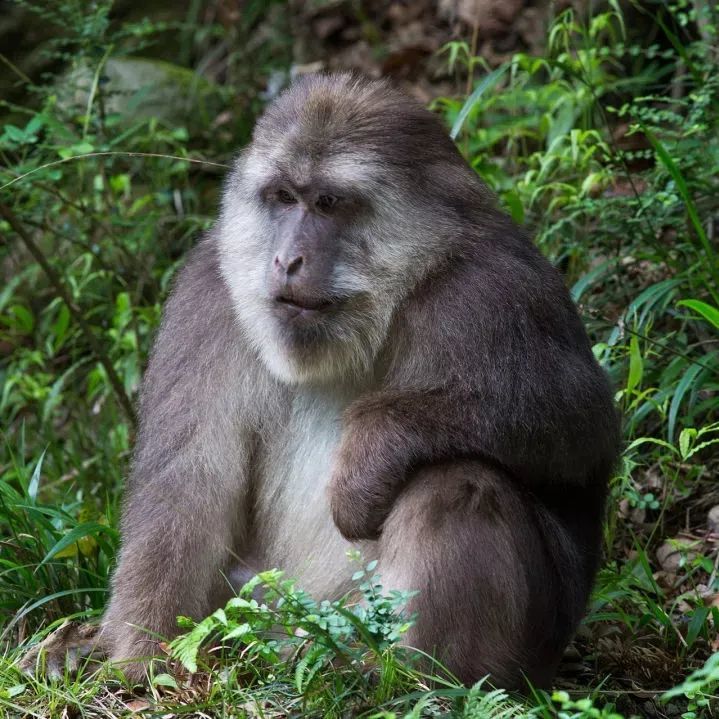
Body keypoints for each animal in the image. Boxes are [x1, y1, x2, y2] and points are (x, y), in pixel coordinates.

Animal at [19, 74, 620, 692]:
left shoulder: (493, 293)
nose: (286, 260)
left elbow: (579, 425)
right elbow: (188, 484)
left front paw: (372, 453)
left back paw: (407, 679)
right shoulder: (209, 295)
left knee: (458, 482)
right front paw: (131, 657)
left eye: (329, 203)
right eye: (284, 197)